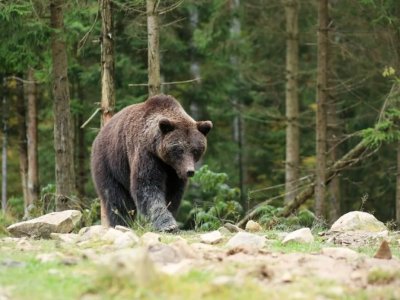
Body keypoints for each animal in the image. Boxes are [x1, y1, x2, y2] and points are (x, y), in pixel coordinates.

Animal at [91, 95, 212, 231]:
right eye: (179, 150)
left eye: (195, 150)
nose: (189, 171)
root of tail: (100, 133)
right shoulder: (146, 154)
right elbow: (147, 186)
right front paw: (168, 225)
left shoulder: (174, 172)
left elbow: (173, 194)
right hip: (109, 162)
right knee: (115, 198)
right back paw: (121, 223)